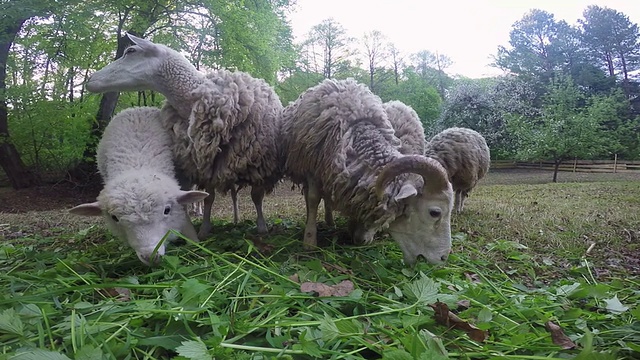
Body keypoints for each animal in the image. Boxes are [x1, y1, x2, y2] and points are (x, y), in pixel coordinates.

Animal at [68, 107, 208, 264]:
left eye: (167, 210)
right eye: (114, 218)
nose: (150, 256)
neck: (138, 161)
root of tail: (137, 108)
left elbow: (183, 212)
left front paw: (193, 241)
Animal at [84, 34, 284, 239]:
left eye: (130, 51)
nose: (90, 80)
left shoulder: (260, 167)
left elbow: (256, 197)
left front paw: (262, 227)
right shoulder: (206, 166)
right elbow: (209, 199)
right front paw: (204, 229)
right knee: (233, 194)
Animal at [282, 78, 456, 264]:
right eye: (434, 212)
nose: (443, 257)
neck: (357, 132)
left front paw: (360, 233)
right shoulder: (313, 168)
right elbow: (314, 199)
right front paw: (309, 241)